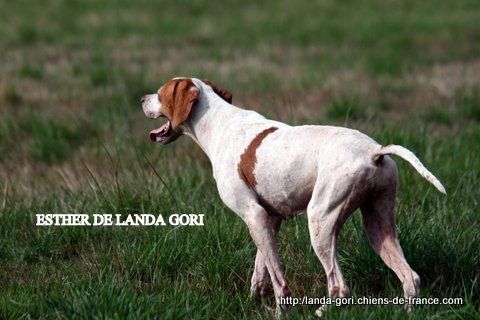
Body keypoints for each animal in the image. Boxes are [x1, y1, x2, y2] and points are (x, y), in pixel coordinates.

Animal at [142, 77, 446, 318]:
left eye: (160, 93)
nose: (141, 98)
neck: (218, 124)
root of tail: (374, 150)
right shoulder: (268, 219)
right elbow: (260, 269)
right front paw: (254, 301)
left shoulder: (253, 215)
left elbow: (278, 280)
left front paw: (282, 311)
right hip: (378, 228)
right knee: (410, 277)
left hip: (321, 221)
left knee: (339, 286)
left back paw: (321, 312)